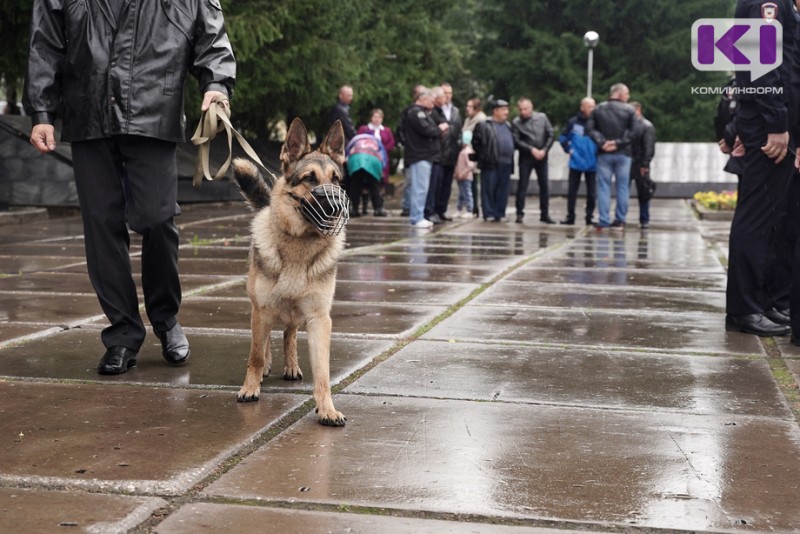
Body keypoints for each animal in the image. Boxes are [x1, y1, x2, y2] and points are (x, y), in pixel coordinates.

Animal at [228, 117, 346, 428]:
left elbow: (322, 372)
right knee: (265, 339)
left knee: (289, 333)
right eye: (309, 178)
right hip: (260, 305)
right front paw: (250, 387)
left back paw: (291, 365)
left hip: (294, 311)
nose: (336, 208)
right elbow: (255, 354)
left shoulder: (319, 319)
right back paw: (267, 366)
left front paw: (327, 408)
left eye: (336, 180)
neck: (300, 243)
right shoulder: (262, 309)